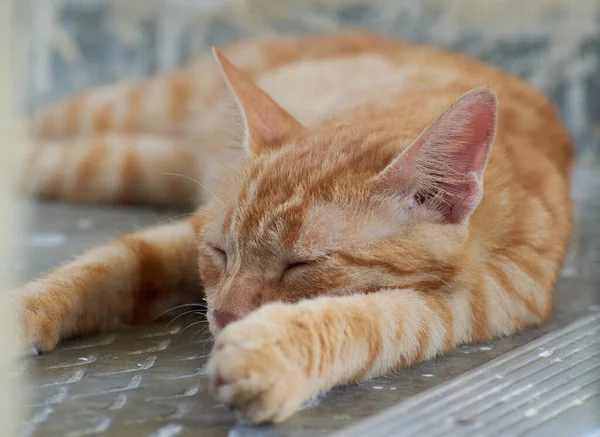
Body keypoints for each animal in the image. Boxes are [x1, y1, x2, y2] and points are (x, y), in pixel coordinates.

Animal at [16, 31, 576, 422]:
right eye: (220, 251)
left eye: (301, 264)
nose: (223, 314)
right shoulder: (185, 232)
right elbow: (109, 265)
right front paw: (24, 310)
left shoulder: (478, 300)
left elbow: (376, 322)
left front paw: (272, 354)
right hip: (136, 112)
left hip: (122, 165)